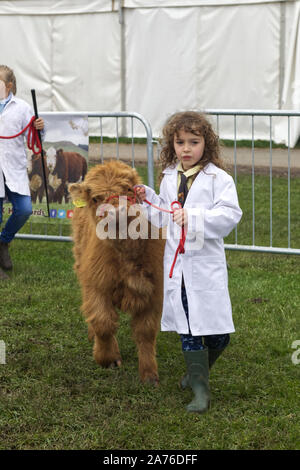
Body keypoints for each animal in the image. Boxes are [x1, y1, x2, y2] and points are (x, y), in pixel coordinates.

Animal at [68, 160, 164, 384]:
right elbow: (103, 323)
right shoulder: (97, 284)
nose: (116, 211)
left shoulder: (154, 291)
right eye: (96, 198)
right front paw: (107, 358)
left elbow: (146, 332)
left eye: (127, 189)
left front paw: (149, 374)